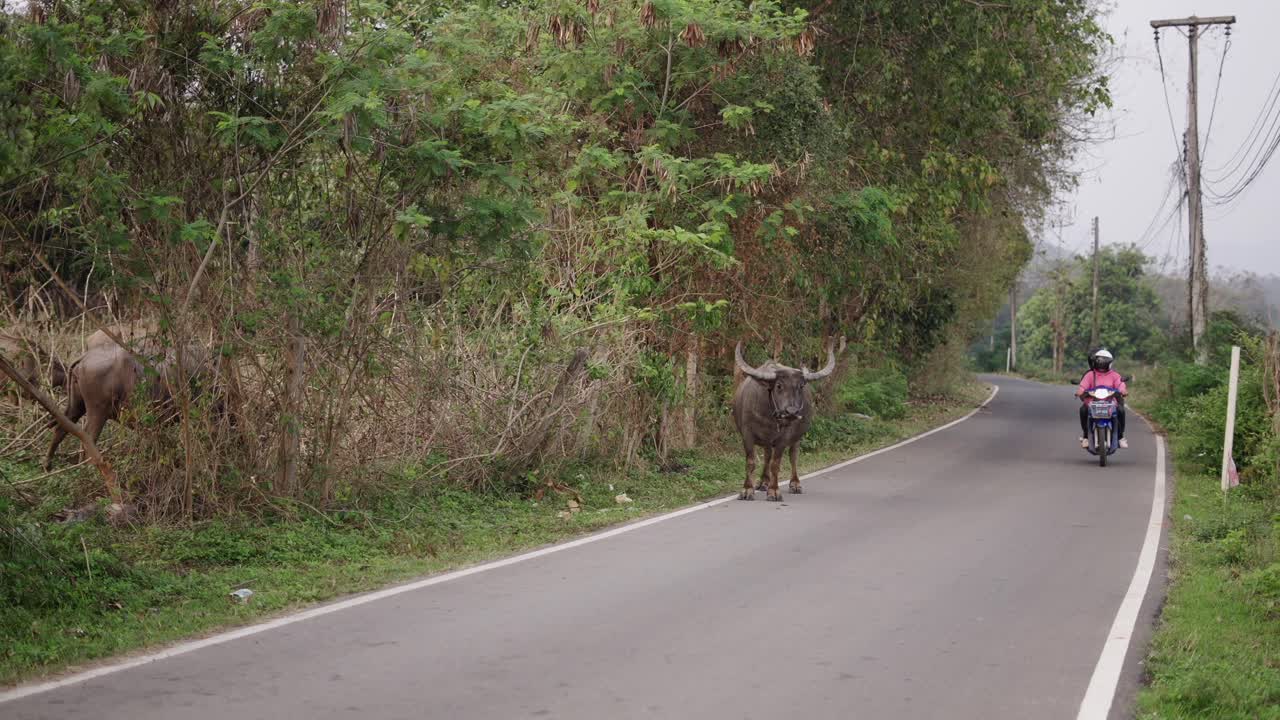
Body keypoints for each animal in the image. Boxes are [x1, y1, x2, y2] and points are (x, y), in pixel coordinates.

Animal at [732, 342, 836, 501]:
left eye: (801, 386)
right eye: (779, 385)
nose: (792, 412)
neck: (769, 416)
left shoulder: (783, 438)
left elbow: (776, 464)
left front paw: (774, 491)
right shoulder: (747, 434)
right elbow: (751, 462)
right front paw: (747, 490)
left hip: (796, 438)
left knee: (793, 456)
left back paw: (795, 484)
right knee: (767, 455)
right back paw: (763, 482)